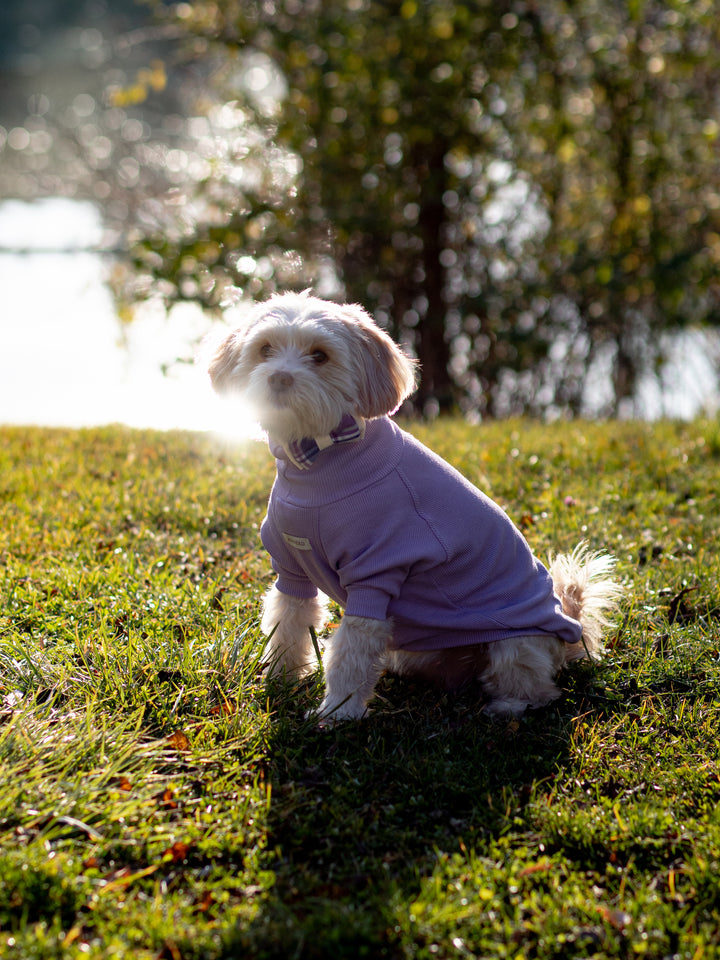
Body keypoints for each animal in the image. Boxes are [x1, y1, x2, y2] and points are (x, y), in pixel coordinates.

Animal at [208, 290, 620, 720]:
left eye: (320, 356)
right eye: (265, 349)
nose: (279, 378)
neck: (318, 457)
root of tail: (570, 631)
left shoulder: (376, 572)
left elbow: (350, 653)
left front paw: (336, 713)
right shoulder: (291, 567)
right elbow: (287, 625)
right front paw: (280, 683)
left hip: (514, 641)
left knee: (536, 687)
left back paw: (506, 707)